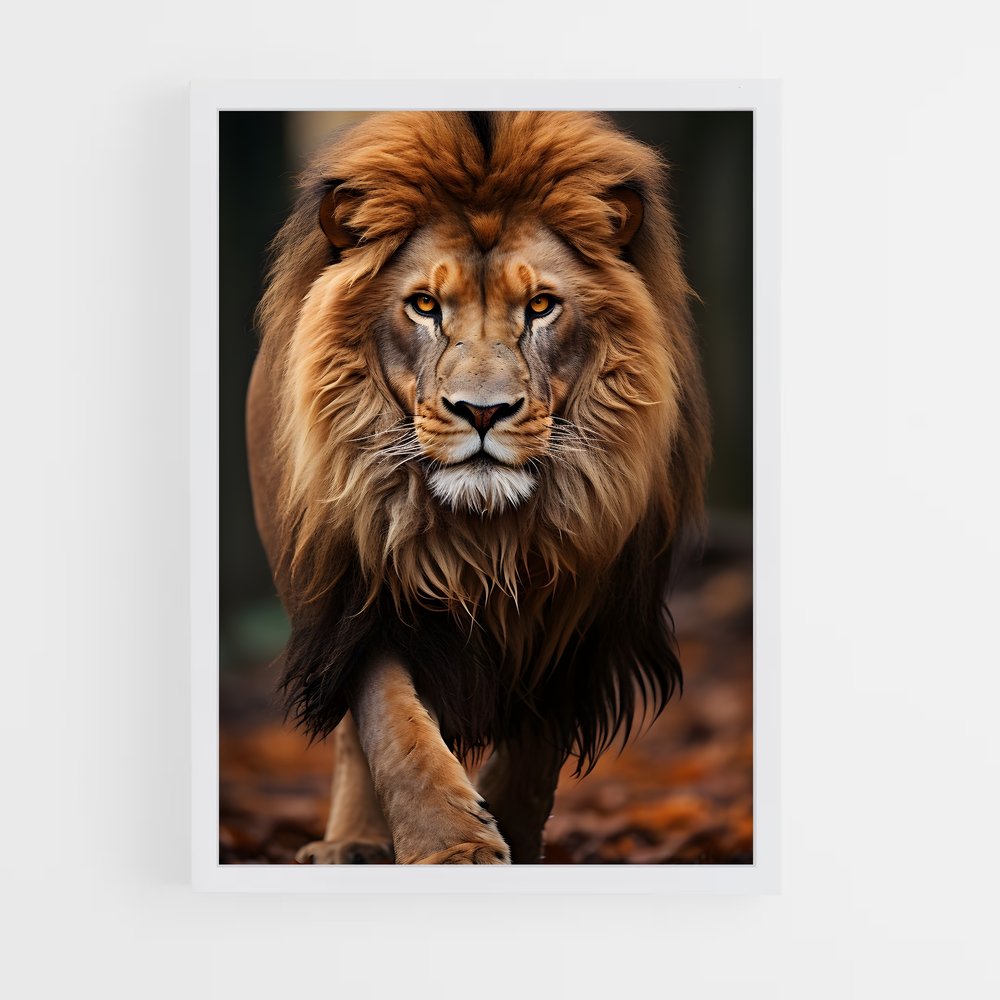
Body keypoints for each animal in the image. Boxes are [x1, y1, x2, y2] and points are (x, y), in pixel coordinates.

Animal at [245, 111, 711, 864]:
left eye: (542, 306)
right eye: (425, 305)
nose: (483, 411)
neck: (486, 536)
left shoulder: (584, 602)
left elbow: (535, 753)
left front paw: (508, 831)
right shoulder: (360, 592)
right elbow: (392, 728)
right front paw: (450, 847)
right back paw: (351, 844)